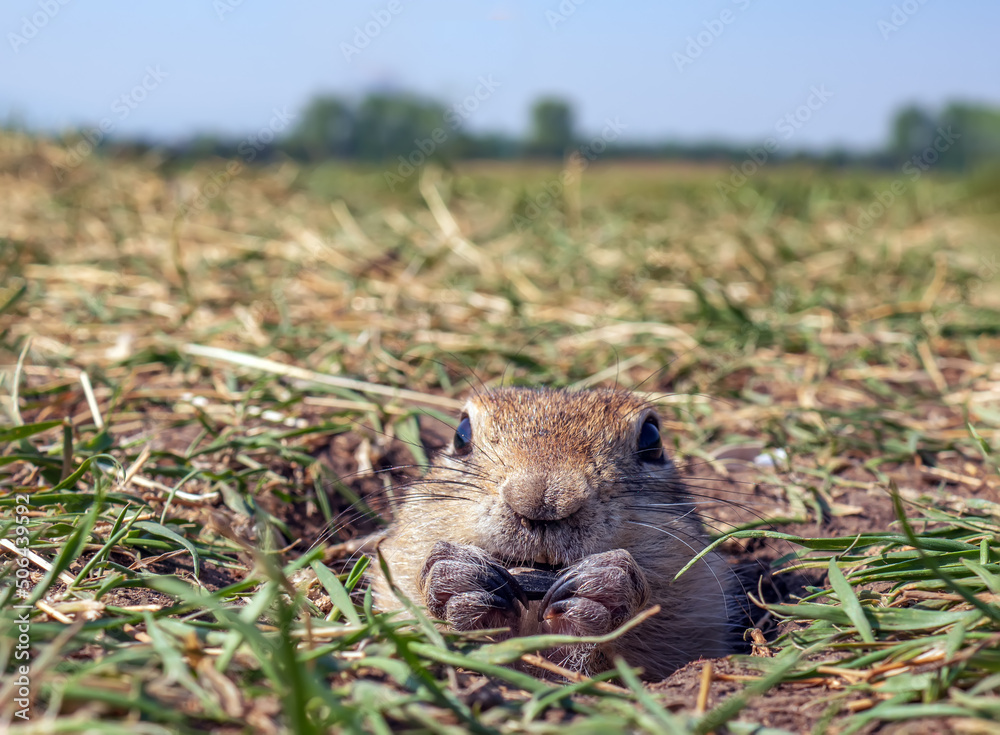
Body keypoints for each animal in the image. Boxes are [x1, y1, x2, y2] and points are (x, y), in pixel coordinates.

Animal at [372, 388, 740, 680]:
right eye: (461, 434)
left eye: (652, 439)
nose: (544, 501)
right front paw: (458, 582)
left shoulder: (698, 607)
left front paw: (600, 589)